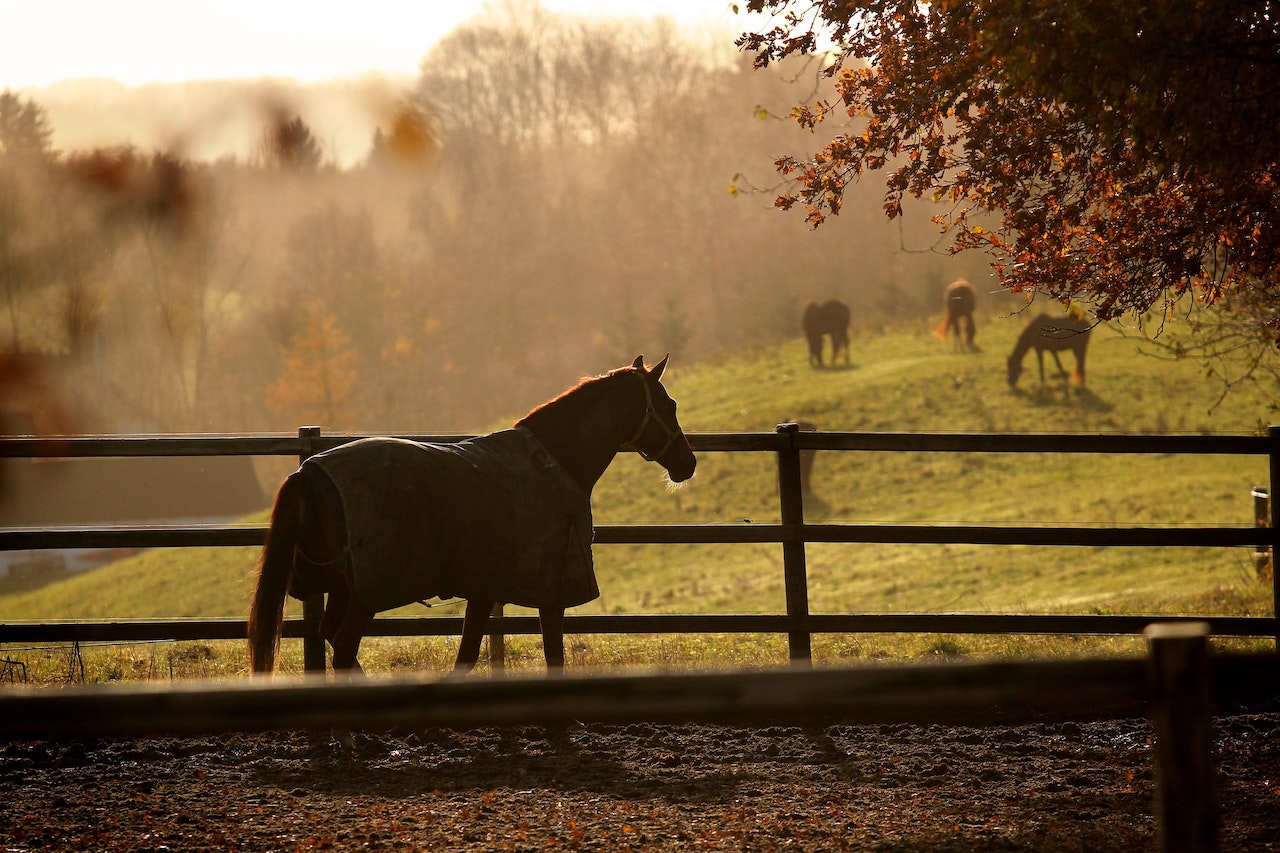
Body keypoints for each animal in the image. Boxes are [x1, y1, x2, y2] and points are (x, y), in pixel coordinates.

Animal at [244, 350, 696, 676]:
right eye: (669, 404)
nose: (687, 463)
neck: (555, 461)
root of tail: (308, 471)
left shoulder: (484, 589)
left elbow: (465, 657)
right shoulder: (552, 592)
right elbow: (553, 657)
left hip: (342, 588)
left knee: (334, 642)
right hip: (363, 596)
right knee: (341, 650)